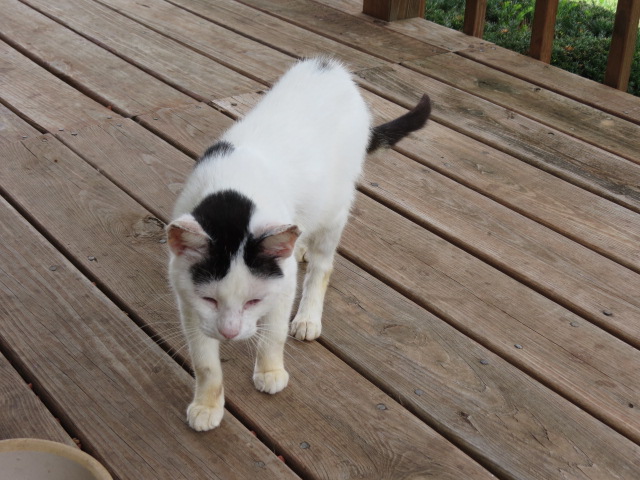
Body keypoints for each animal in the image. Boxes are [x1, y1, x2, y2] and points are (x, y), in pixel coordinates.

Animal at [167, 58, 431, 431]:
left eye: (254, 301)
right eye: (210, 299)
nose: (229, 333)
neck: (232, 192)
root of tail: (332, 66)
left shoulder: (283, 284)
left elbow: (274, 333)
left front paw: (270, 370)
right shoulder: (188, 300)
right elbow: (204, 360)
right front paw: (207, 405)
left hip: (336, 204)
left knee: (323, 264)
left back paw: (308, 314)